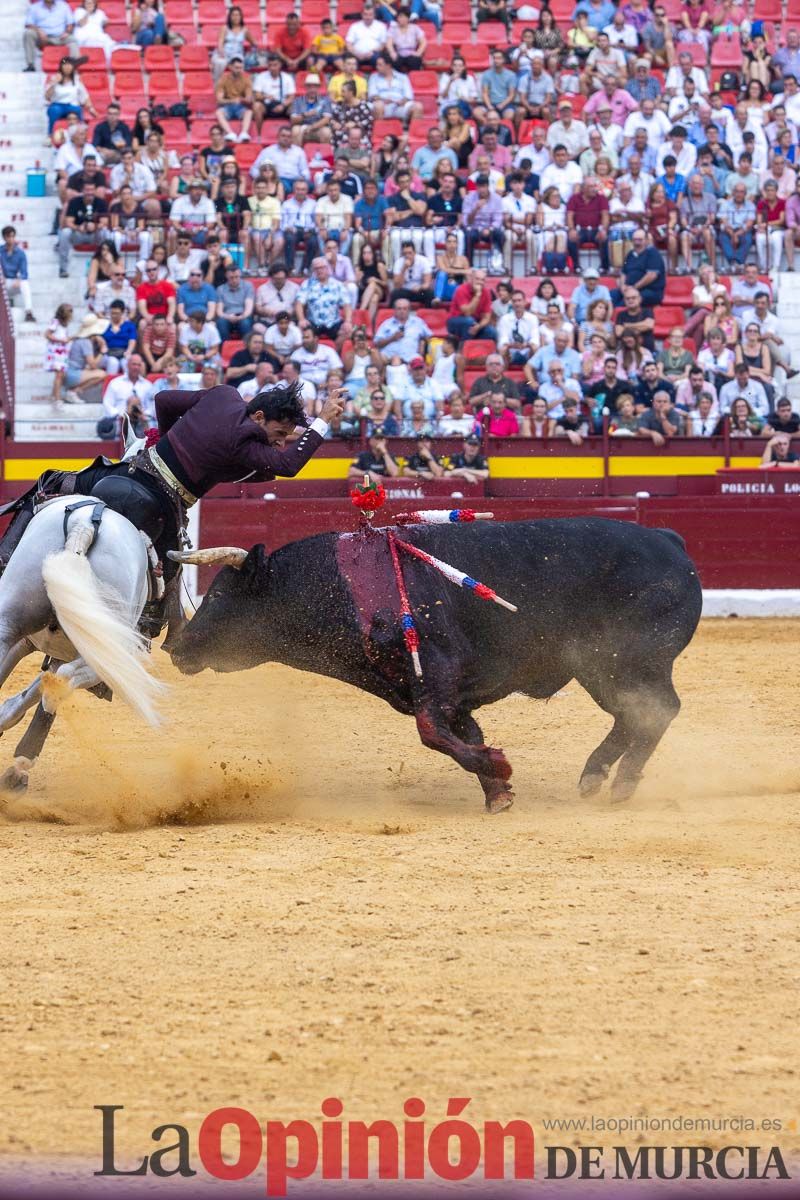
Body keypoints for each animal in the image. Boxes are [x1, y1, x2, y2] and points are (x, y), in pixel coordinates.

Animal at [0, 492, 165, 792]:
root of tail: (85, 526)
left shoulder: (40, 645)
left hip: (11, 620)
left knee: (56, 679)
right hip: (106, 649)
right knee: (63, 680)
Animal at [167, 518, 700, 816]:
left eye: (220, 595)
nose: (177, 647)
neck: (337, 587)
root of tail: (669, 540)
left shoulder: (439, 674)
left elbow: (432, 734)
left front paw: (499, 768)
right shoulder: (448, 697)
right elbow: (461, 735)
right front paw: (498, 791)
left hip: (632, 660)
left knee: (657, 710)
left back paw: (621, 782)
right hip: (600, 670)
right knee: (635, 715)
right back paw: (596, 776)